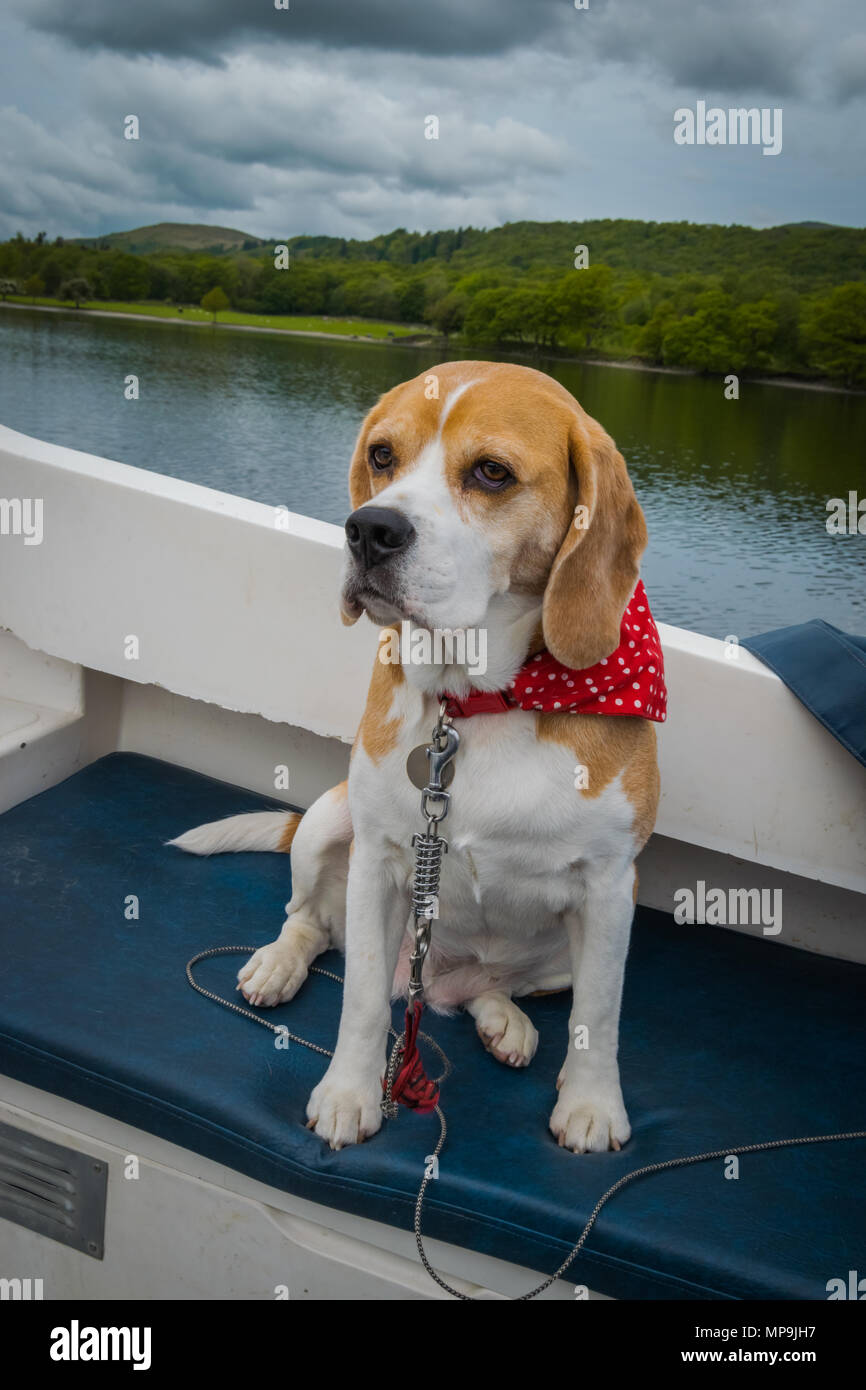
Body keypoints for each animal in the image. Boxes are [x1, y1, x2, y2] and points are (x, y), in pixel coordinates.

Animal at [174, 358, 664, 1150]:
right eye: (382, 455)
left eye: (492, 472)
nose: (368, 529)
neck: (484, 701)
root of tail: (436, 984)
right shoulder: (378, 860)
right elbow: (363, 1000)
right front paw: (349, 1093)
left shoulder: (610, 887)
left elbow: (599, 1014)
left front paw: (592, 1106)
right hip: (327, 824)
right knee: (309, 921)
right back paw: (277, 966)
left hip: (571, 945)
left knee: (489, 990)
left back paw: (503, 1020)